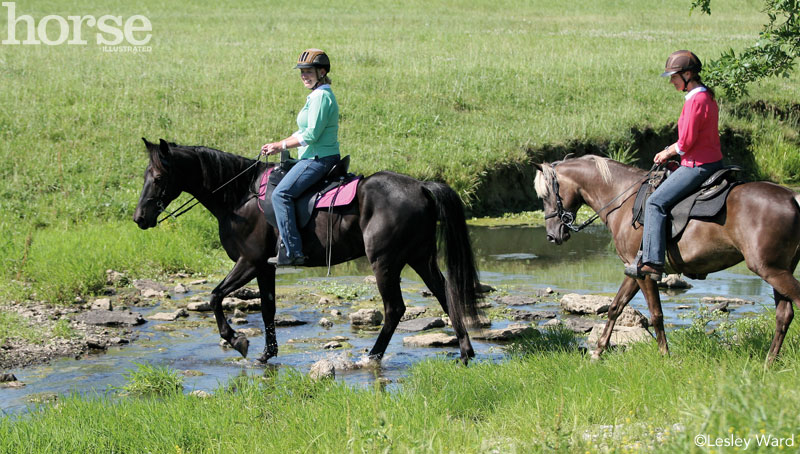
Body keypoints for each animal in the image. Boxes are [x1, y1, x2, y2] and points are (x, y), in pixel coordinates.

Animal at [134, 138, 478, 366]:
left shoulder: (250, 262)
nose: (140, 218)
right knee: (445, 294)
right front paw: (266, 353)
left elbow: (216, 296)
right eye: (144, 176)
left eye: (159, 177)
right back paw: (465, 352)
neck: (240, 197)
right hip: (420, 257)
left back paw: (373, 356)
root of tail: (421, 186)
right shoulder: (266, 267)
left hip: (385, 262)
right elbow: (268, 309)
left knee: (395, 308)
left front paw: (238, 340)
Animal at [536, 156, 800, 366]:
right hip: (779, 270)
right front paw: (598, 352)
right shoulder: (633, 270)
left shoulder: (644, 272)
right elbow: (615, 307)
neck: (623, 199)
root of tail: (791, 198)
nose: (551, 235)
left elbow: (656, 314)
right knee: (784, 316)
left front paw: (664, 355)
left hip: (770, 269)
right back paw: (769, 362)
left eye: (546, 195)